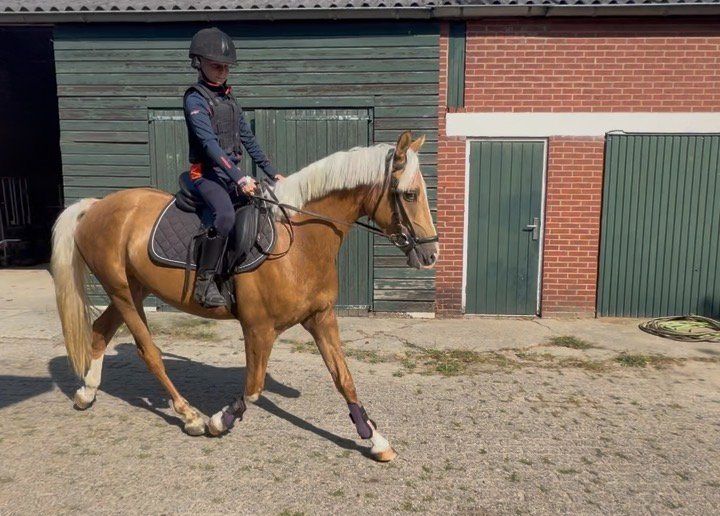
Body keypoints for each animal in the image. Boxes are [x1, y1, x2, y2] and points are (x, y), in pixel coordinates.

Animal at [50, 131, 438, 462]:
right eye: (409, 194)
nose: (431, 254)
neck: (298, 241)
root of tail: (97, 206)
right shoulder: (258, 329)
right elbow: (253, 387)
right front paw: (218, 421)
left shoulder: (321, 317)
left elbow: (344, 379)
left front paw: (375, 440)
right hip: (124, 294)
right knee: (149, 352)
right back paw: (189, 416)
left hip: (130, 290)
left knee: (99, 333)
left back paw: (86, 393)